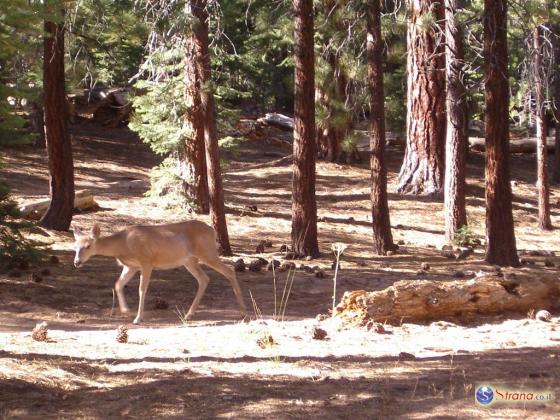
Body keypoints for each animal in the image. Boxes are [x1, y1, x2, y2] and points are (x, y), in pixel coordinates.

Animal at [71, 220, 246, 324]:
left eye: (88, 246)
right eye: (75, 246)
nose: (77, 262)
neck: (123, 245)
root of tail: (212, 231)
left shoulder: (146, 261)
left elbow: (142, 289)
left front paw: (138, 318)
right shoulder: (131, 266)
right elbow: (118, 284)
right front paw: (126, 310)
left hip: (207, 252)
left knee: (229, 271)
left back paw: (243, 312)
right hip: (189, 260)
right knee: (204, 278)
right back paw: (189, 314)